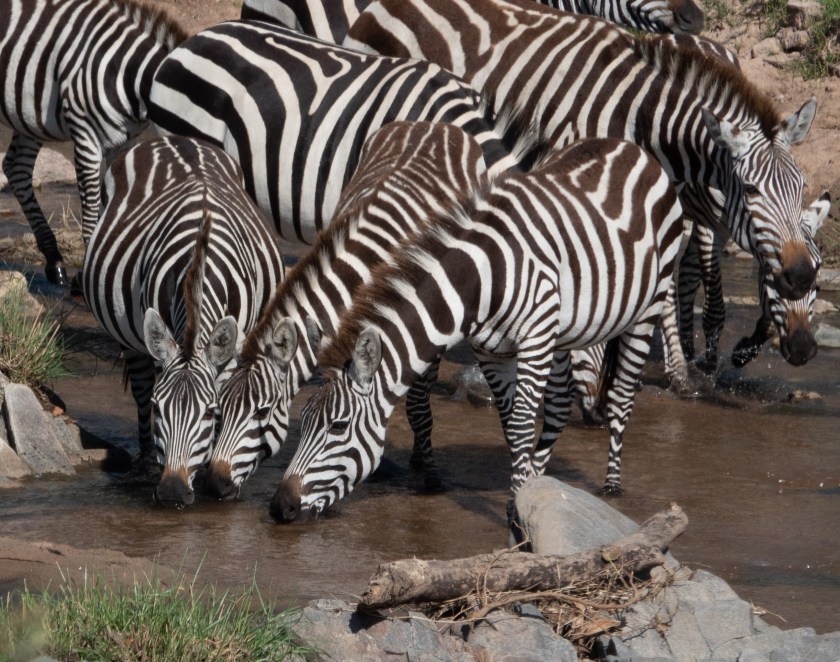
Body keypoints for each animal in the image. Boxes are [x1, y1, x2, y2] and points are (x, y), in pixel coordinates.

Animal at [0, 0, 186, 286]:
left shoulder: (121, 143)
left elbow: (112, 203)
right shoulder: (85, 135)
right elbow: (90, 210)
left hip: (29, 112)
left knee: (16, 168)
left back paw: (54, 260)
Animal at [82, 136, 285, 507]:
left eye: (210, 413)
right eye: (159, 410)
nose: (173, 493)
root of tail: (174, 139)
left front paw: (214, 473)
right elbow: (148, 393)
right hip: (130, 336)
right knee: (140, 385)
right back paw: (145, 463)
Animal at [270, 136, 685, 522]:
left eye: (338, 427)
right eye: (304, 422)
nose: (280, 507)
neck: (481, 282)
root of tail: (630, 147)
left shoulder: (534, 339)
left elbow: (522, 422)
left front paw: (517, 507)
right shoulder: (491, 350)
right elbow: (512, 426)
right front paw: (526, 490)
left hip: (648, 307)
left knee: (622, 396)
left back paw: (612, 483)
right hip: (563, 333)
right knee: (558, 405)